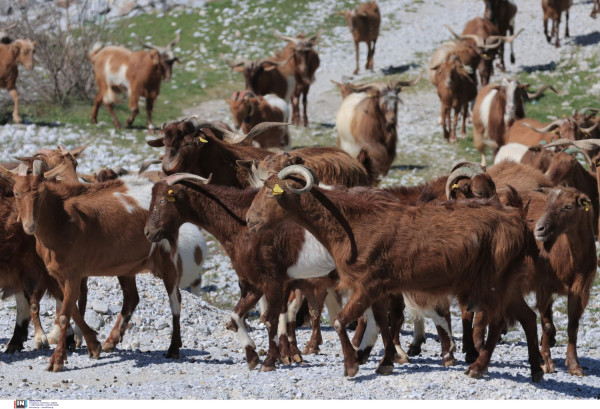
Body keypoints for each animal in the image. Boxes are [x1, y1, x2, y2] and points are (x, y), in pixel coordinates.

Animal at [246, 164, 548, 380]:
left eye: (273, 193)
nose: (249, 220)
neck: (351, 224)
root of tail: (519, 224)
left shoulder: (366, 284)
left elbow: (341, 322)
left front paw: (351, 366)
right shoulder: (381, 287)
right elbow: (382, 322)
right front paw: (386, 362)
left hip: (491, 282)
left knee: (497, 322)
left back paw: (477, 367)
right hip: (506, 283)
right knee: (528, 317)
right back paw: (536, 370)